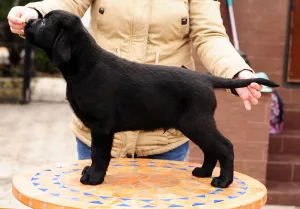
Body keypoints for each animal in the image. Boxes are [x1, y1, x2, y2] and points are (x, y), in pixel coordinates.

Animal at [23, 9, 278, 188]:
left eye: (44, 22)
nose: (26, 22)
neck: (85, 66)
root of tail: (206, 78)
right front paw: (90, 173)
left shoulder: (102, 127)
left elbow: (99, 155)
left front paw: (94, 178)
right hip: (194, 125)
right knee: (210, 150)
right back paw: (203, 172)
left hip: (197, 123)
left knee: (224, 147)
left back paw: (223, 181)